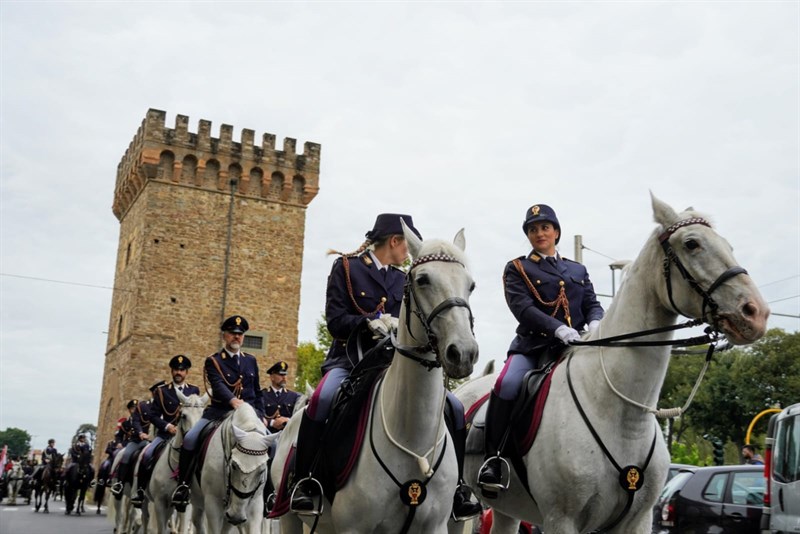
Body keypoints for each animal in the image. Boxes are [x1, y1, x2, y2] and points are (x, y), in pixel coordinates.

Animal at [272, 223, 478, 534]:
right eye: (422, 280)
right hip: (289, 518)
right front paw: (379, 323)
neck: (412, 438)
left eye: (471, 285)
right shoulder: (354, 528)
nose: (463, 353)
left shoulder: (435, 526)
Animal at [450, 196, 768, 534]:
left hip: (506, 508)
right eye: (692, 244)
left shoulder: (638, 520)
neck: (621, 414)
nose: (755, 313)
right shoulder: (561, 520)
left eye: (728, 245)